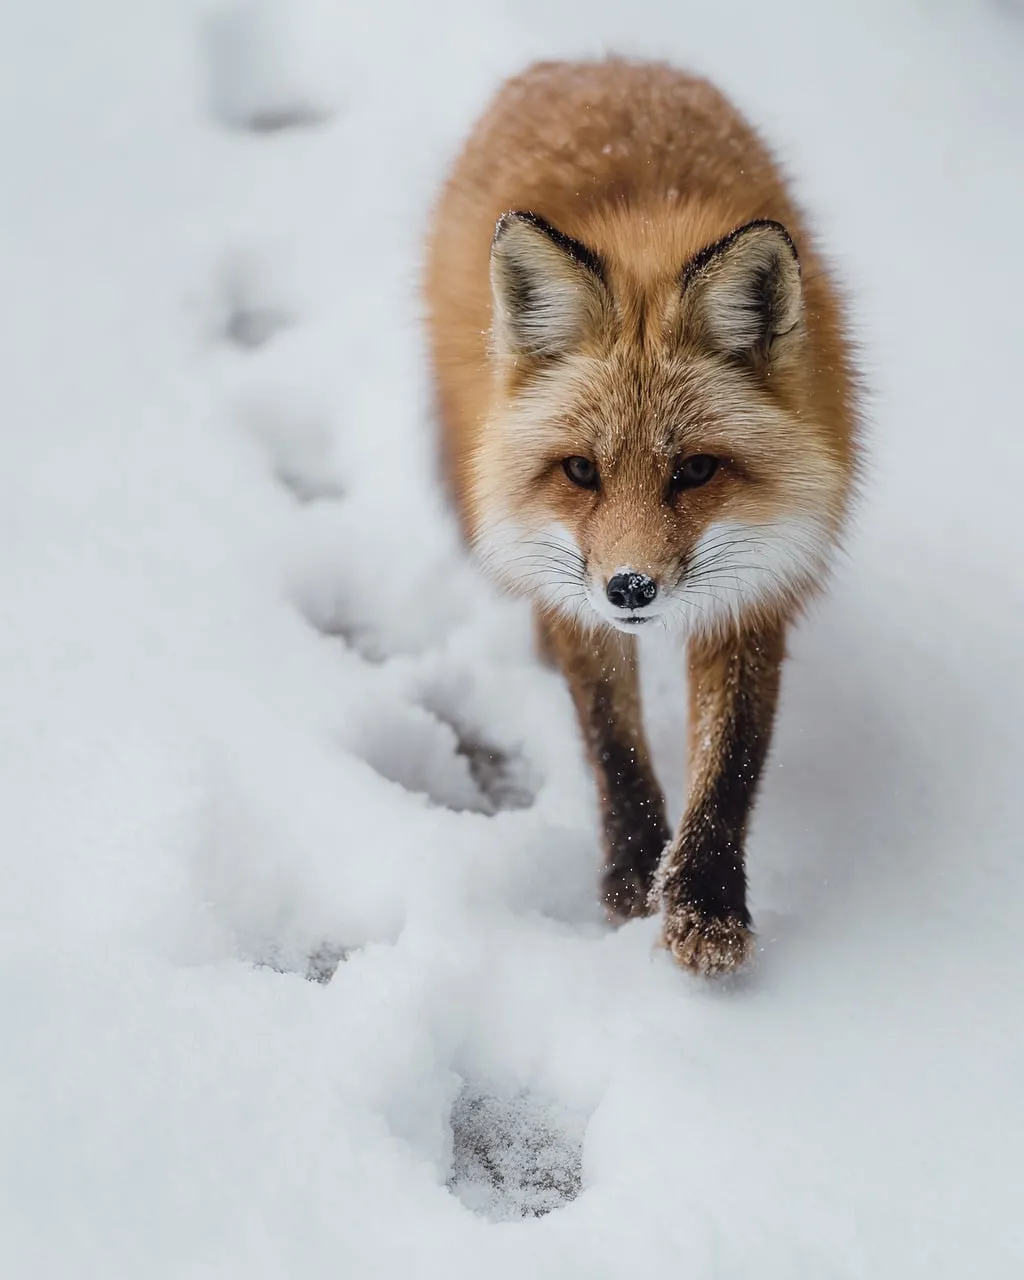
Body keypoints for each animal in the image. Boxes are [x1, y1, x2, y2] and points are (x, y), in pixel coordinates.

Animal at [423, 58, 860, 975]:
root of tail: (591, 61)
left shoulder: (757, 584)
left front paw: (703, 904)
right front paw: (633, 874)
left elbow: (731, 759)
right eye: (581, 472)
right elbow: (611, 740)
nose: (630, 589)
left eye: (694, 470)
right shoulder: (576, 595)